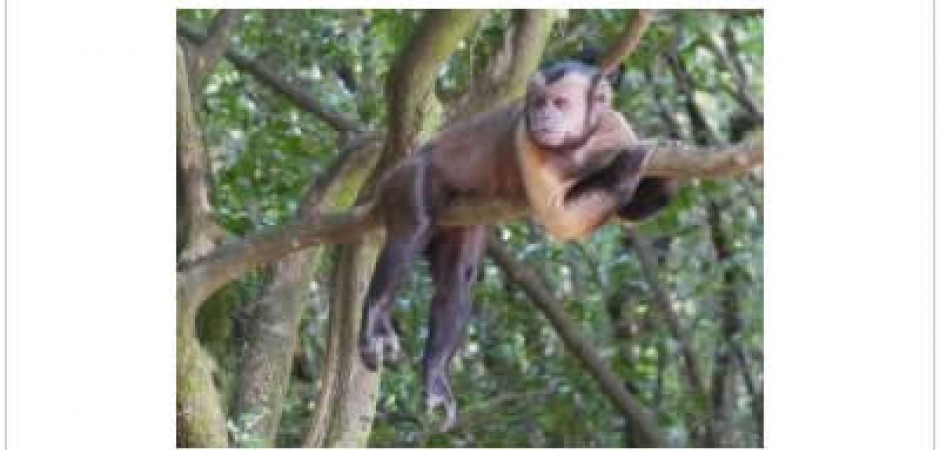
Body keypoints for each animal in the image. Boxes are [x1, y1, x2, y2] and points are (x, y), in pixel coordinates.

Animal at [356, 59, 672, 432]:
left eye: (559, 103)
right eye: (538, 103)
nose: (541, 116)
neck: (580, 143)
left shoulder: (617, 128)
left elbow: (632, 208)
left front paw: (659, 179)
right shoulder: (526, 139)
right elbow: (558, 219)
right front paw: (628, 164)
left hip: (460, 215)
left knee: (460, 275)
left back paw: (434, 372)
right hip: (408, 176)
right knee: (413, 228)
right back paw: (375, 318)